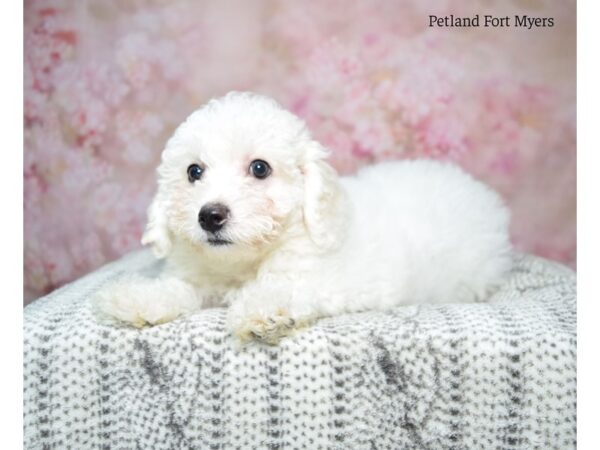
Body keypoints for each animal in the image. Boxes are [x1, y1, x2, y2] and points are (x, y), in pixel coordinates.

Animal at [94, 92, 510, 344]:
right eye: (194, 172)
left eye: (260, 168)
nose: (210, 216)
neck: (245, 264)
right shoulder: (202, 274)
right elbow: (183, 288)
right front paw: (142, 298)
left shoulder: (346, 283)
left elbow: (296, 286)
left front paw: (266, 310)